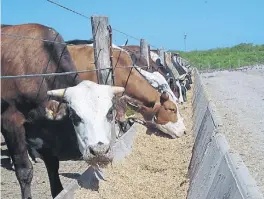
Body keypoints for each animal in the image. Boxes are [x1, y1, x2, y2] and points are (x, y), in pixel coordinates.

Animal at [1, 23, 125, 199]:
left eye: (109, 112)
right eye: (75, 116)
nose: (100, 152)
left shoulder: (45, 135)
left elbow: (54, 170)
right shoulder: (10, 122)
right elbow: (24, 171)